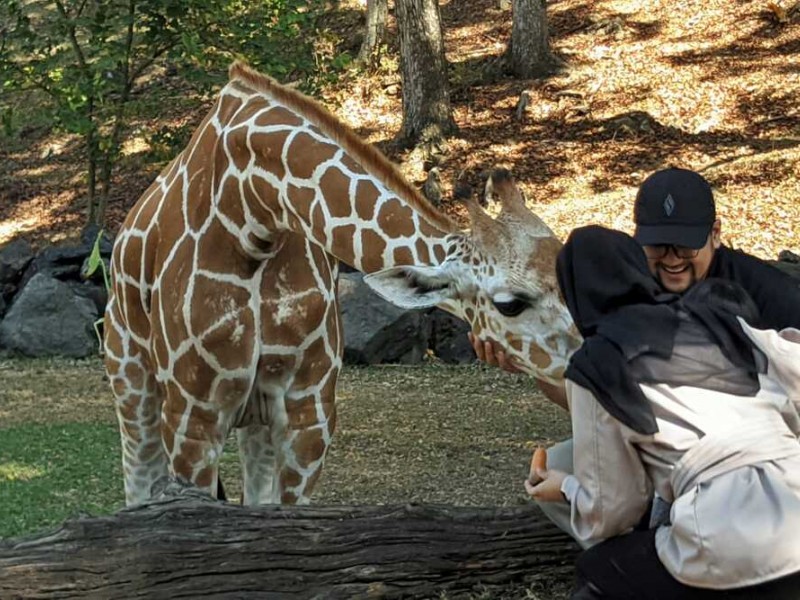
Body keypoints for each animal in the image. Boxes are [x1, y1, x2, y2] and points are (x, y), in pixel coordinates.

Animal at [104, 62, 580, 506]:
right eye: (509, 303)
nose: (585, 359)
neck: (256, 213)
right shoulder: (194, 415)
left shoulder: (309, 412)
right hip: (132, 383)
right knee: (137, 483)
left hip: (253, 419)